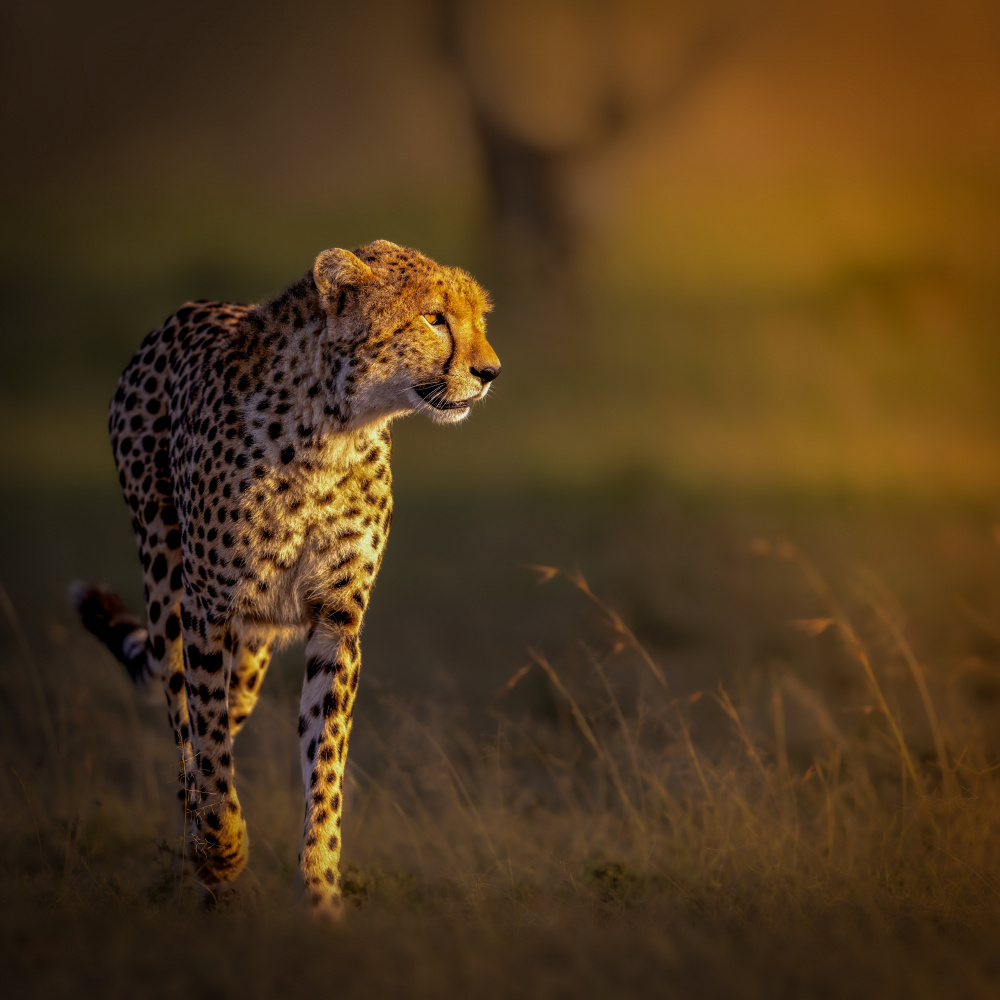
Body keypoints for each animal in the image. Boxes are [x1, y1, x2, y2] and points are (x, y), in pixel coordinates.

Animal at [71, 239, 500, 919]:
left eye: (479, 317)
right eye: (434, 318)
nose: (491, 372)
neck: (334, 429)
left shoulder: (335, 619)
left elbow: (325, 764)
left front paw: (321, 895)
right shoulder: (209, 609)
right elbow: (208, 744)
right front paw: (223, 850)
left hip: (252, 648)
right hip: (167, 585)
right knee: (184, 724)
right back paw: (204, 856)